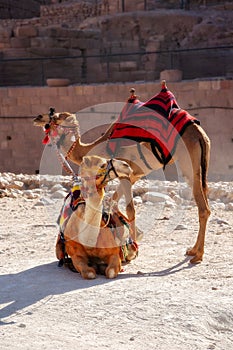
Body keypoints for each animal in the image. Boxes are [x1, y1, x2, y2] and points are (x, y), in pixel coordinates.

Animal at [34, 81, 211, 262]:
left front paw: (133, 246)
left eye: (54, 117)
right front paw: (134, 235)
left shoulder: (126, 172)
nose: (38, 118)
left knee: (203, 207)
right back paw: (193, 250)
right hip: (201, 166)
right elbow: (113, 200)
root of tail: (199, 134)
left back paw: (197, 254)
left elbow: (130, 208)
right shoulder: (133, 174)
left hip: (188, 165)